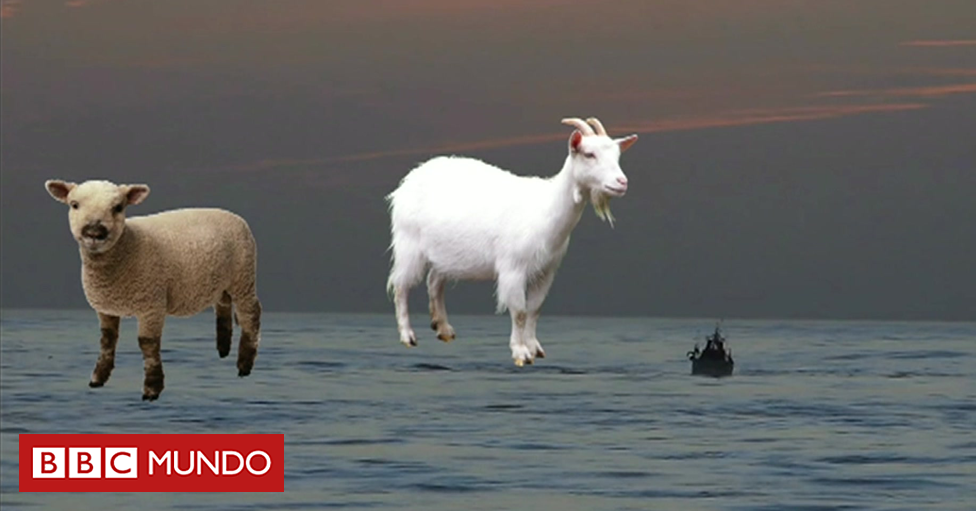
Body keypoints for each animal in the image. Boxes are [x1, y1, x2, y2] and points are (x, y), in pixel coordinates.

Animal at [45, 179, 262, 401]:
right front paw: (98, 377)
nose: (95, 233)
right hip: (221, 282)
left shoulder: (152, 304)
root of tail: (234, 216)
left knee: (250, 314)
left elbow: (148, 344)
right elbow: (107, 340)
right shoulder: (106, 308)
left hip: (243, 276)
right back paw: (223, 350)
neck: (128, 245)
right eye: (74, 204)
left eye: (118, 207)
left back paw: (244, 365)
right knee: (223, 306)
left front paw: (152, 388)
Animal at [386, 117, 638, 366]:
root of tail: (409, 180)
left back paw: (444, 328)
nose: (622, 182)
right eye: (589, 154)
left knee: (434, 281)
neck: (546, 208)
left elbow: (535, 309)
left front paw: (535, 347)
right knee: (401, 285)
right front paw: (520, 352)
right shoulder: (513, 267)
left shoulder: (547, 270)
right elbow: (519, 311)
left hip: (445, 252)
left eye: (617, 155)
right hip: (408, 243)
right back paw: (407, 336)